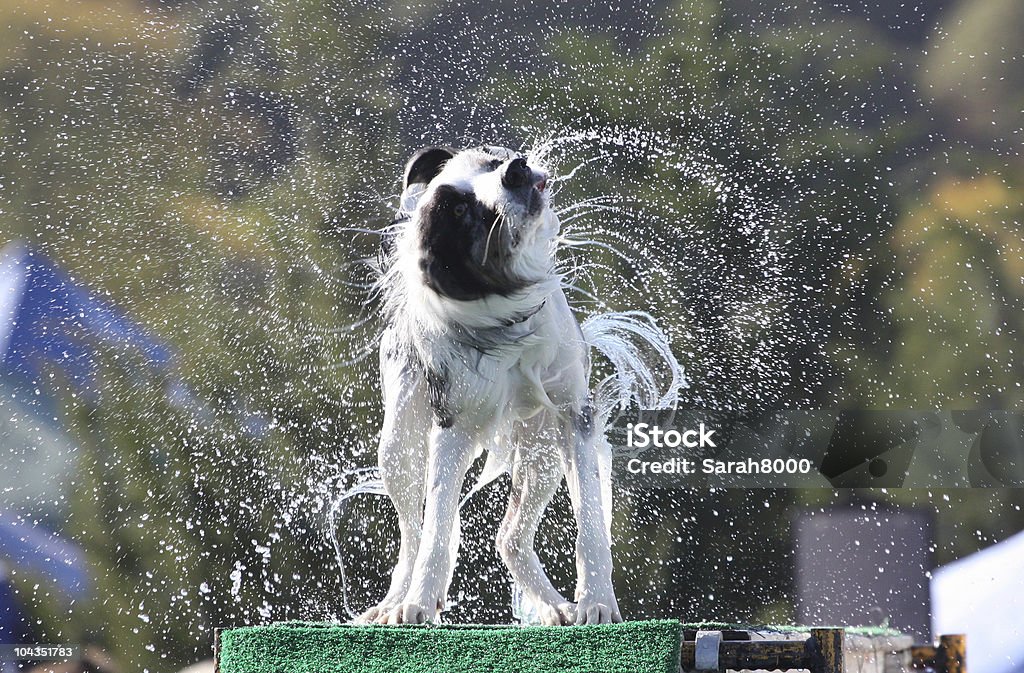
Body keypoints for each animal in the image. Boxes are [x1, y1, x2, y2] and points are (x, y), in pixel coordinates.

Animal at [356, 143, 684, 622]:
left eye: (490, 159)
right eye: (459, 209)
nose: (515, 170)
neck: (508, 315)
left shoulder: (574, 416)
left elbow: (590, 523)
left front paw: (597, 602)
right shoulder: (452, 429)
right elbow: (436, 526)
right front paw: (418, 601)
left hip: (540, 451)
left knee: (509, 537)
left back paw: (556, 607)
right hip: (399, 443)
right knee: (413, 532)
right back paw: (395, 602)